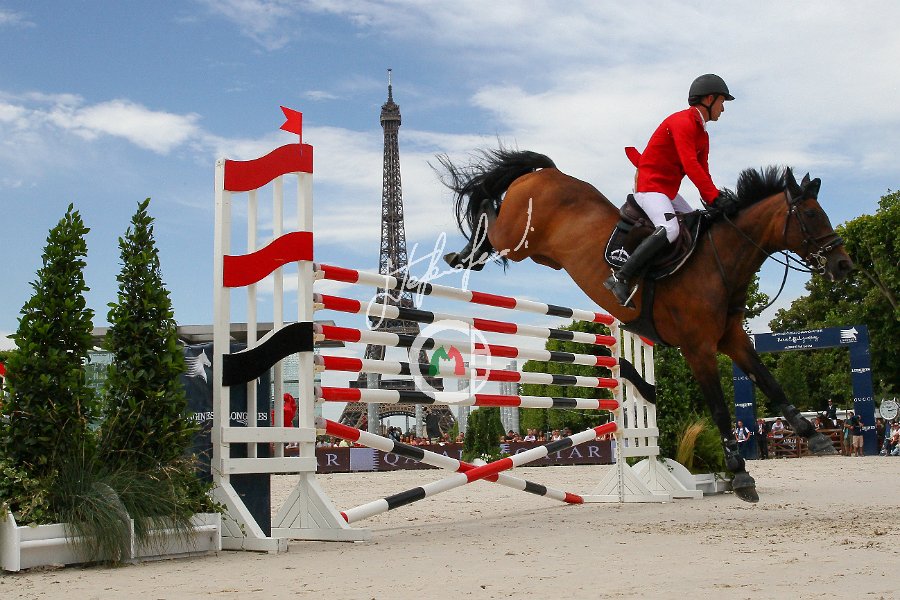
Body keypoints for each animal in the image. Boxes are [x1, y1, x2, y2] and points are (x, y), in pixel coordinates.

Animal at [438, 149, 853, 502]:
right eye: (812, 216)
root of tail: (546, 172)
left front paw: (814, 437)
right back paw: (462, 252)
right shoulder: (698, 348)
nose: (843, 265)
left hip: (539, 255)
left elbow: (769, 381)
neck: (717, 262)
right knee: (491, 217)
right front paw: (740, 474)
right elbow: (720, 408)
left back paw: (467, 255)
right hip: (517, 238)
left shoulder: (731, 339)